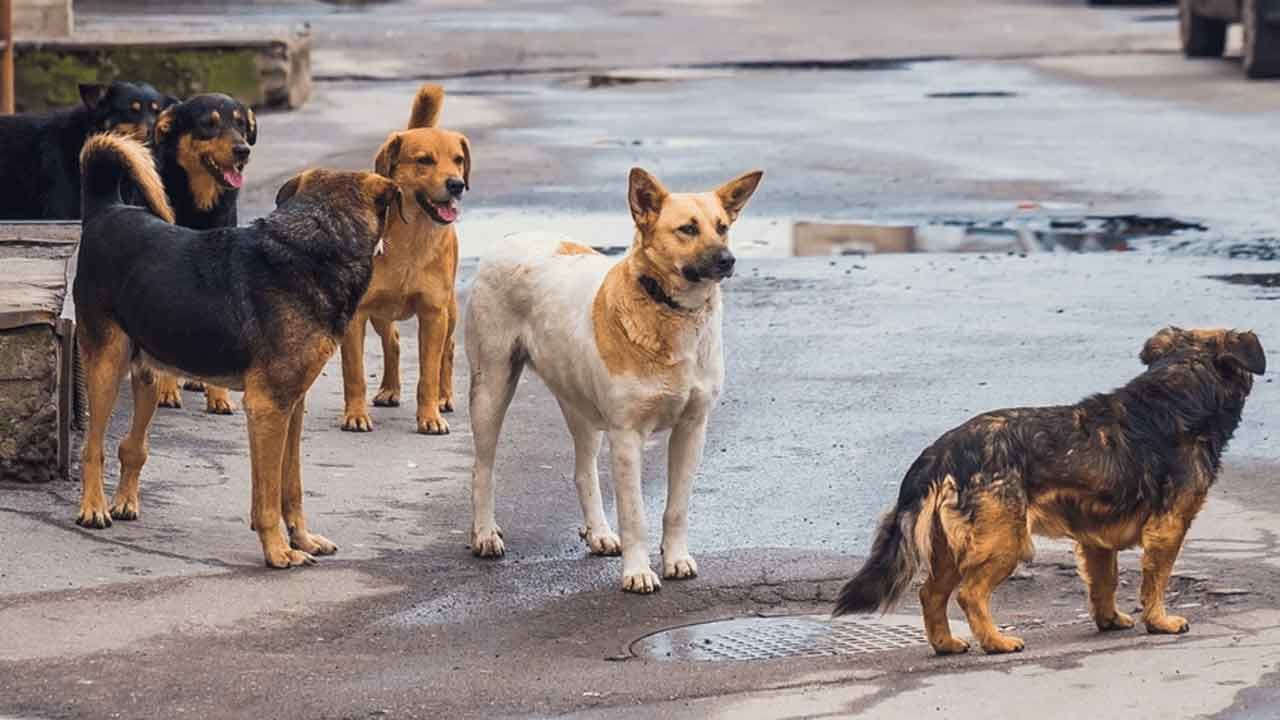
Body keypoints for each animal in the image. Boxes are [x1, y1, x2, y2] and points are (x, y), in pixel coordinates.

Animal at [340, 82, 471, 430]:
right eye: (424, 160)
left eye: (458, 160)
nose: (457, 184)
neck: (411, 240)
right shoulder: (356, 315)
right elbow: (354, 373)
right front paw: (355, 414)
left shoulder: (433, 314)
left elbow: (429, 373)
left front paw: (430, 416)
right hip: (380, 313)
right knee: (393, 341)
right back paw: (389, 389)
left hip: (450, 311)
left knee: (448, 351)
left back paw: (444, 397)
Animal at [465, 166, 757, 589]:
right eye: (687, 229)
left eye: (722, 227)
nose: (728, 260)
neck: (669, 310)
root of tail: (512, 237)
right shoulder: (627, 436)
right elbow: (635, 515)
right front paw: (638, 572)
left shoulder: (692, 429)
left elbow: (677, 508)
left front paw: (675, 559)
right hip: (491, 389)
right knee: (482, 468)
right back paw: (484, 533)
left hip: (580, 407)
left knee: (583, 472)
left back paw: (599, 533)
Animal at [834, 327, 1264, 653]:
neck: (1179, 389)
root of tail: (941, 452)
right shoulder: (1168, 528)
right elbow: (1155, 580)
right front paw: (1159, 621)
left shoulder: (1096, 540)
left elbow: (1104, 583)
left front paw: (1109, 620)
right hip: (1004, 541)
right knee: (969, 594)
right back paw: (996, 642)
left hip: (950, 548)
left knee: (930, 595)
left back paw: (947, 644)